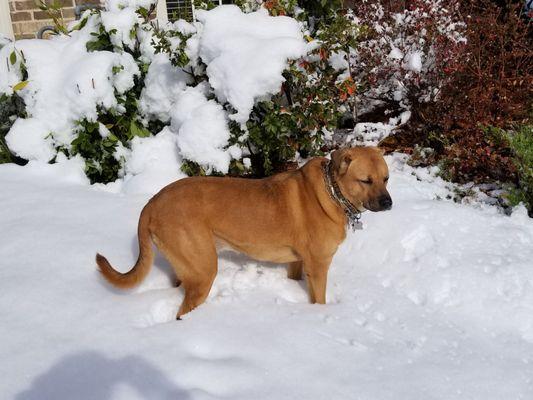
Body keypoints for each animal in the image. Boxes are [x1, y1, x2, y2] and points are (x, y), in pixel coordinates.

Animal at [95, 145, 388, 318]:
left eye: (386, 178)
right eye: (365, 180)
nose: (389, 203)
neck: (333, 192)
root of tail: (152, 202)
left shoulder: (298, 262)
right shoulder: (318, 266)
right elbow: (320, 300)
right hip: (203, 270)